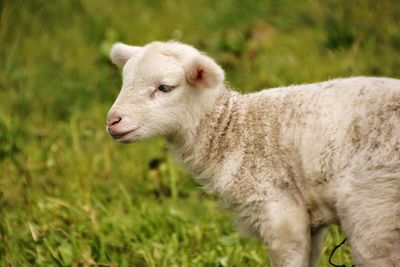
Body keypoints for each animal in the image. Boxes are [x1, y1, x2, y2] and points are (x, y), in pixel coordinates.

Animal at [105, 41, 400, 267]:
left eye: (164, 87)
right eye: (124, 82)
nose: (112, 120)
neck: (234, 130)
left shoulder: (280, 212)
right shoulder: (310, 219)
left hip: (371, 207)